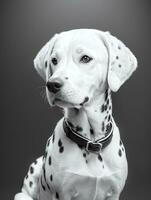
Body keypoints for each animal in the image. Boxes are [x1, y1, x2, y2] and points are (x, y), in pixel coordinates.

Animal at [14, 28, 137, 200]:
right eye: (54, 60)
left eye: (85, 58)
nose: (52, 84)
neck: (91, 141)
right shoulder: (62, 194)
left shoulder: (114, 193)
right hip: (22, 194)